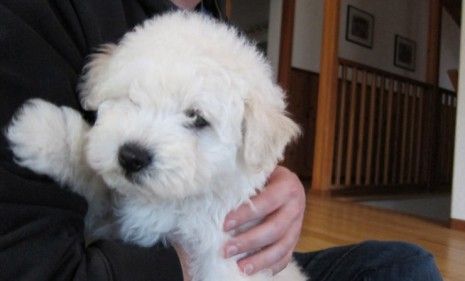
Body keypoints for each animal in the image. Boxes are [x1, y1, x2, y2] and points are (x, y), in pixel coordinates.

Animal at [8, 10, 304, 280]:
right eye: (132, 97)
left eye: (197, 118)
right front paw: (42, 132)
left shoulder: (228, 254)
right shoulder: (111, 221)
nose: (131, 156)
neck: (169, 201)